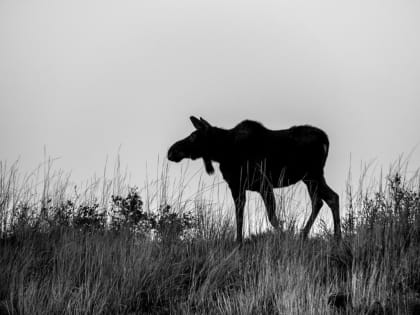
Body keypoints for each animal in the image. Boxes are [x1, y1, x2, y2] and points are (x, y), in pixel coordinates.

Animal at [167, 117, 342, 243]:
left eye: (193, 136)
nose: (171, 151)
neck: (222, 151)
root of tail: (326, 140)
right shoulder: (237, 187)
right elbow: (239, 214)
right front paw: (238, 242)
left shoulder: (262, 184)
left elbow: (272, 217)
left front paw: (284, 236)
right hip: (310, 178)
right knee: (324, 199)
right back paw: (310, 235)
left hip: (313, 175)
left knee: (328, 198)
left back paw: (333, 237)